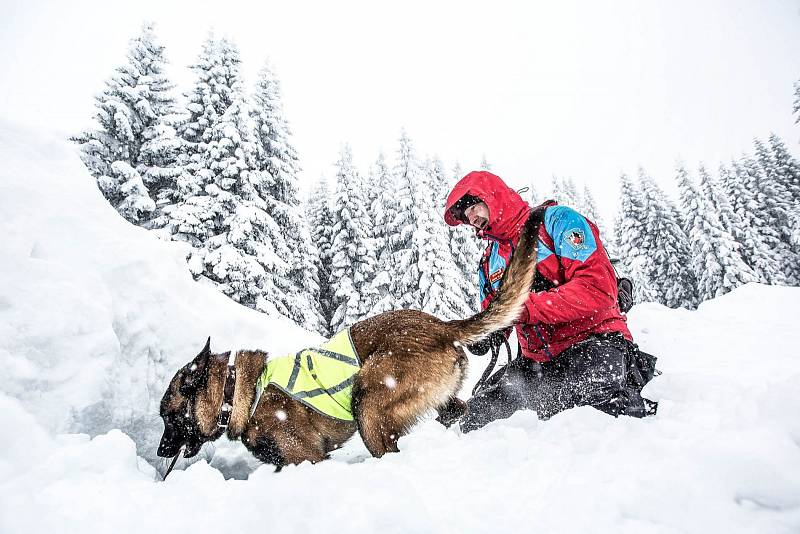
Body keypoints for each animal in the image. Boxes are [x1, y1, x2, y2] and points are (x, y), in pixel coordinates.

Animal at [156, 214, 544, 474]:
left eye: (169, 416)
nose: (160, 452)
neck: (239, 393)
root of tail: (441, 327)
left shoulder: (307, 458)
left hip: (369, 403)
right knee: (458, 413)